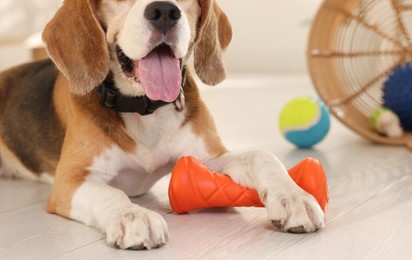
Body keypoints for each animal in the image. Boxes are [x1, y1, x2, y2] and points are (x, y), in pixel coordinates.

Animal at [0, 0, 326, 250]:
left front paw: (294, 197)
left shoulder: (209, 156)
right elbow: (110, 193)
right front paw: (133, 216)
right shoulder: (69, 181)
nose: (164, 11)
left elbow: (262, 156)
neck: (144, 108)